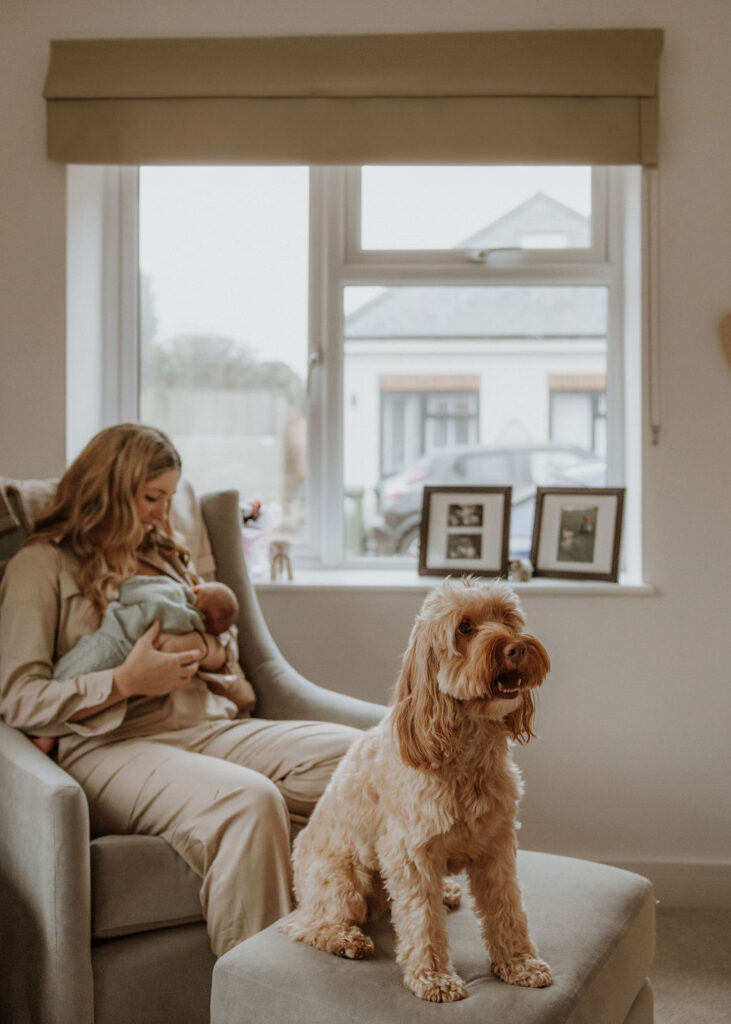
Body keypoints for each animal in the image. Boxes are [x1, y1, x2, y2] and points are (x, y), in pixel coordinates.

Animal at [282, 581, 548, 1003]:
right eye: (464, 627)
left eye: (507, 619)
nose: (516, 648)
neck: (467, 753)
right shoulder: (410, 853)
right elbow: (422, 921)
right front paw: (434, 978)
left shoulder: (497, 846)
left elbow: (507, 907)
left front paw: (519, 963)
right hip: (343, 880)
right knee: (307, 924)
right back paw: (345, 939)